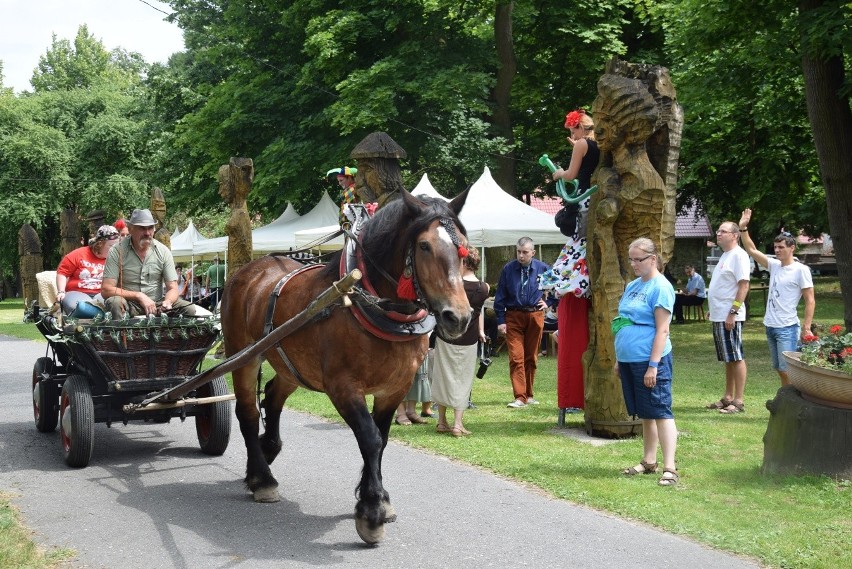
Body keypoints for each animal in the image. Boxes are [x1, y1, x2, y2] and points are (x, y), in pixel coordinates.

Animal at [220, 189, 472, 544]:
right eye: (424, 246)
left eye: (463, 247)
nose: (458, 317)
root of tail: (250, 269)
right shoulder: (343, 387)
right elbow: (369, 438)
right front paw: (371, 511)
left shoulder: (395, 387)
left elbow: (381, 439)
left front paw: (379, 498)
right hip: (243, 355)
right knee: (247, 412)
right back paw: (261, 478)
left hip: (291, 363)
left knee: (271, 395)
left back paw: (268, 448)